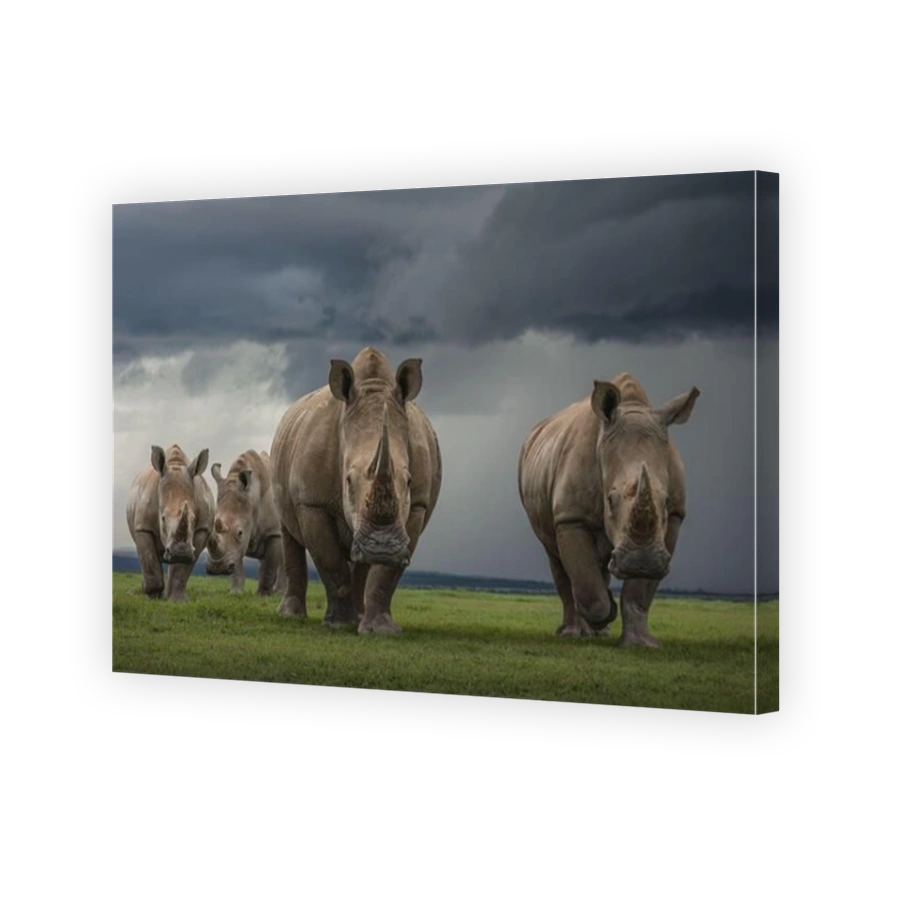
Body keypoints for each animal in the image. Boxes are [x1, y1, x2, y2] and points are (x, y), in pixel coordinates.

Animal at [125, 444, 213, 601]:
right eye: (163, 518)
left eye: (193, 519)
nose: (181, 552)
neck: (175, 465)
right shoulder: (143, 527)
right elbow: (149, 559)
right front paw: (153, 596)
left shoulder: (202, 529)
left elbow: (182, 571)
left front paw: (177, 601)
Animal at [206, 450, 286, 595]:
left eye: (240, 533)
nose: (217, 568)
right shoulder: (235, 549)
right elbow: (237, 564)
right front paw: (236, 593)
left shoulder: (274, 533)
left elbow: (270, 566)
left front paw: (263, 595)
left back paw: (279, 592)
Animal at [270, 346, 442, 634]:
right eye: (348, 480)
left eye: (408, 481)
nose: (382, 548)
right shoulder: (312, 503)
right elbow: (331, 563)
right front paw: (338, 624)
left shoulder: (418, 504)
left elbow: (386, 575)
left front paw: (381, 630)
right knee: (288, 532)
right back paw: (291, 616)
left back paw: (359, 617)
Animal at [518, 373, 699, 648]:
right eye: (610, 500)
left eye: (666, 501)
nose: (641, 561)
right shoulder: (571, 516)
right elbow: (585, 583)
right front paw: (606, 613)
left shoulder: (676, 517)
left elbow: (638, 594)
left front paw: (640, 644)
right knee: (556, 556)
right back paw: (574, 632)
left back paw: (598, 632)